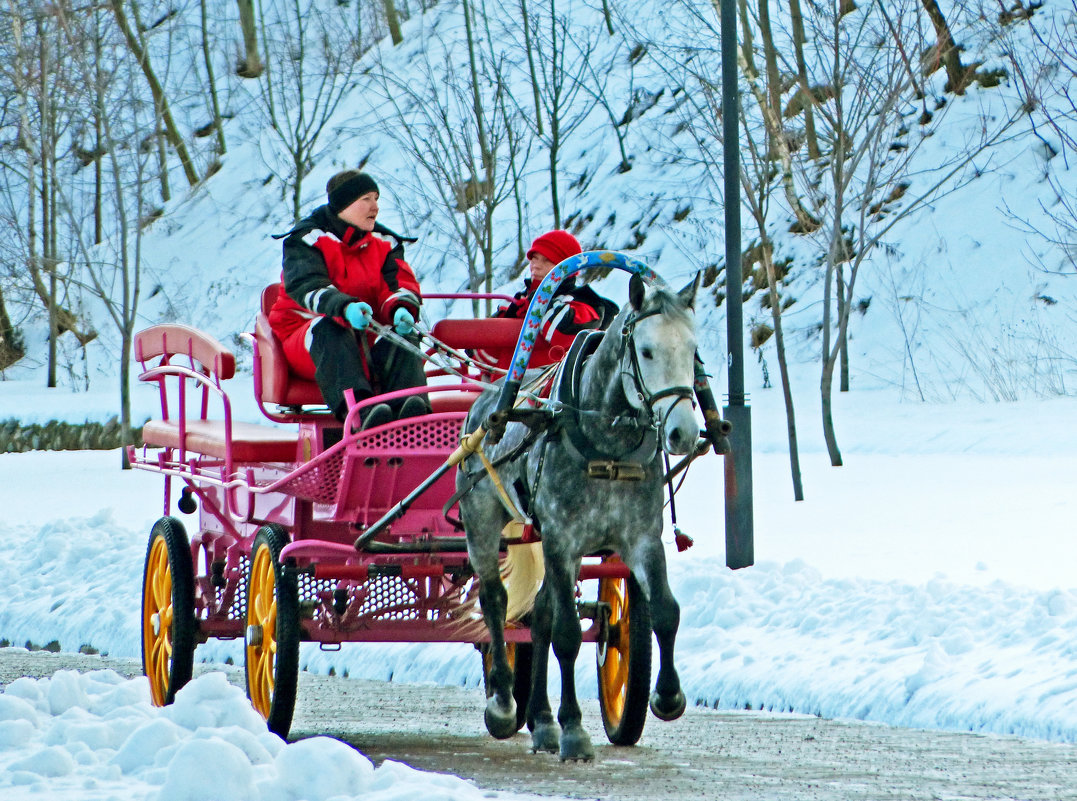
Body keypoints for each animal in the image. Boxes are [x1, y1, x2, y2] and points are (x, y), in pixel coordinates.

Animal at [454, 272, 697, 762]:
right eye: (647, 351)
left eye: (693, 349)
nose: (684, 432)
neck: (606, 442)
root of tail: (481, 405)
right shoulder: (562, 539)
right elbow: (567, 634)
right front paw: (573, 730)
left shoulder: (642, 537)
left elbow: (665, 611)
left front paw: (667, 696)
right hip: (483, 523)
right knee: (496, 602)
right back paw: (505, 702)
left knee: (540, 614)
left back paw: (542, 720)